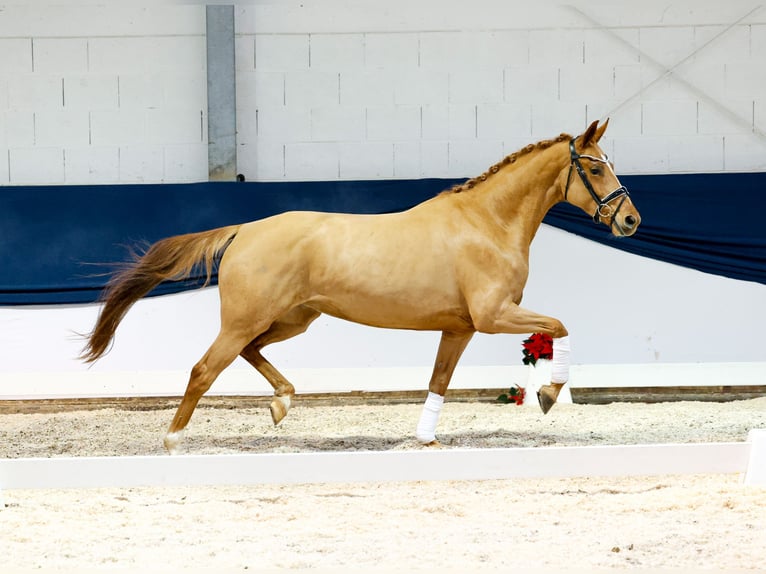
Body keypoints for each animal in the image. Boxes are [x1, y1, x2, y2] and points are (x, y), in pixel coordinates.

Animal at [81, 120, 640, 454]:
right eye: (594, 167)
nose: (631, 220)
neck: (487, 223)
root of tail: (245, 229)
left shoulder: (460, 328)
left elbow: (439, 381)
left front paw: (425, 439)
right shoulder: (492, 315)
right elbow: (560, 325)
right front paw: (547, 393)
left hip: (292, 319)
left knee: (250, 353)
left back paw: (281, 403)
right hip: (247, 319)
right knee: (204, 369)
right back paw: (175, 440)